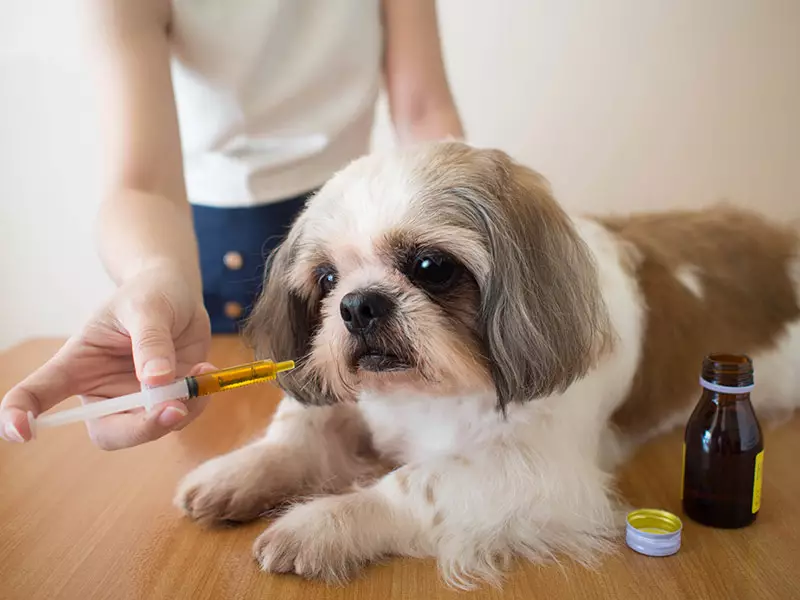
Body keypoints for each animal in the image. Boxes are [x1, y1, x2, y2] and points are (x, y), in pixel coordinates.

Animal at [175, 142, 800, 592]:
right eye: (327, 279)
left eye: (430, 266)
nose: (357, 304)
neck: (430, 394)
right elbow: (300, 431)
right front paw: (241, 472)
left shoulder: (539, 473)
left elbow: (413, 484)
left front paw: (320, 523)